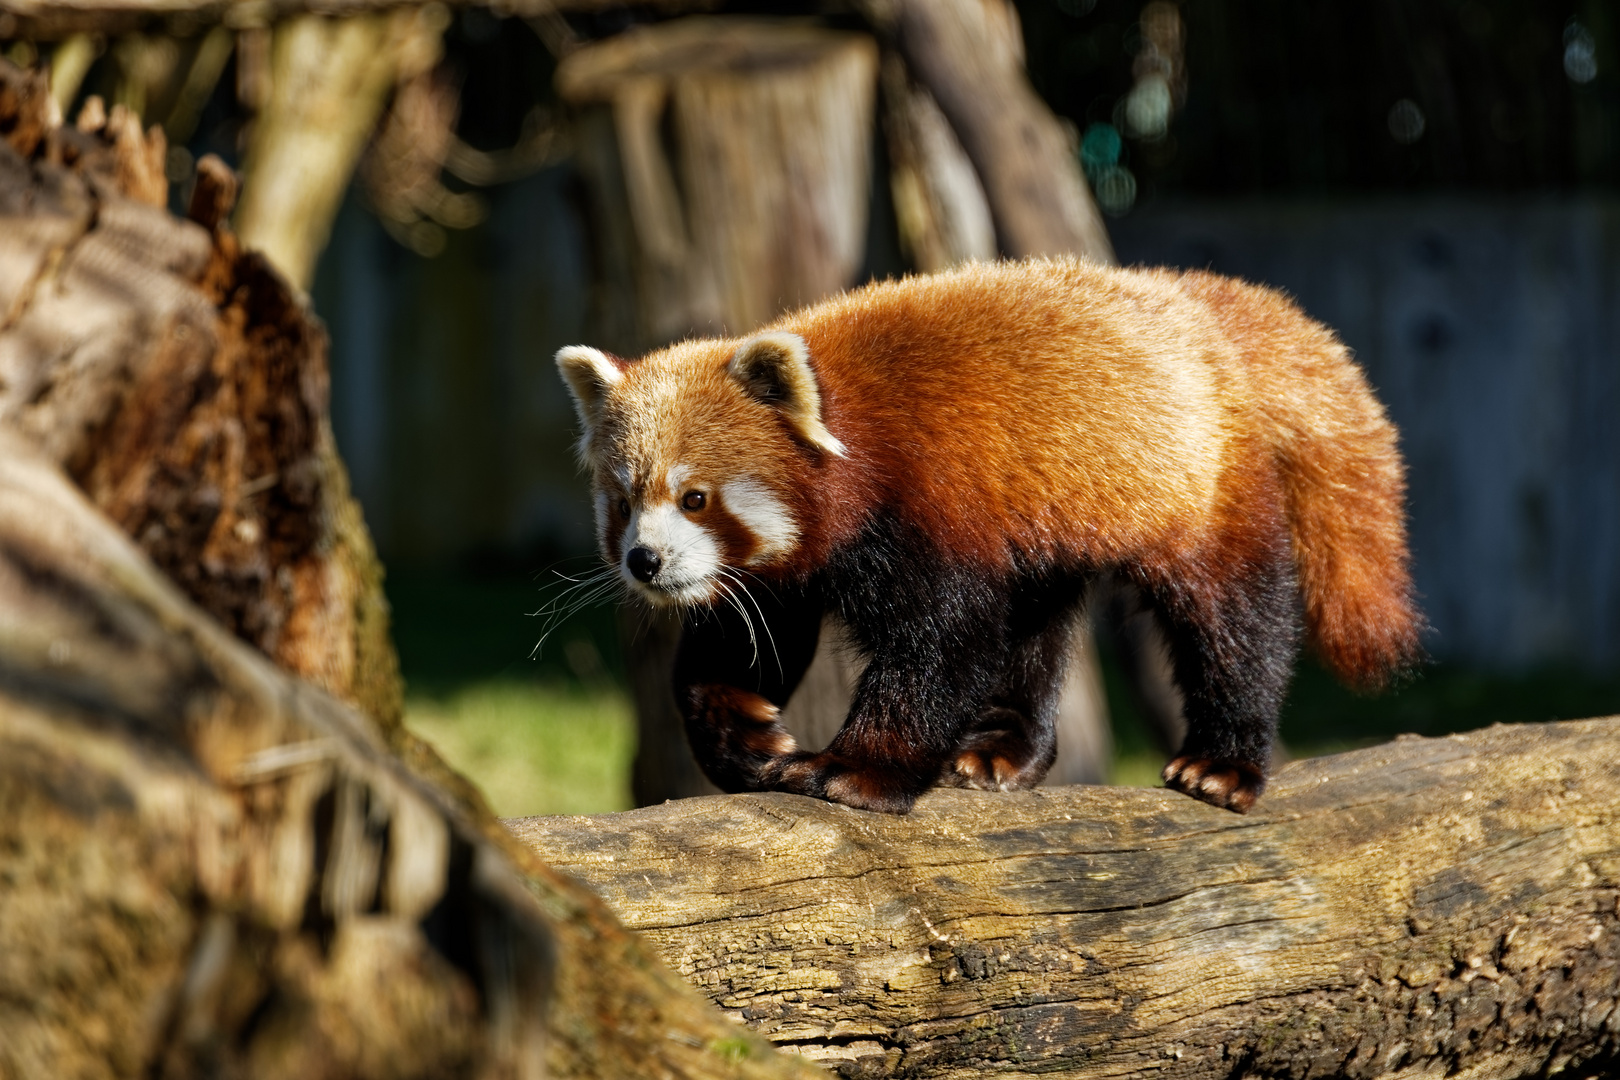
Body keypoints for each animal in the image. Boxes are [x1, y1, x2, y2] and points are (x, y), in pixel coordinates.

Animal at [557, 257, 1419, 816]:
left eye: (695, 497)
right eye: (624, 501)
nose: (645, 561)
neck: (857, 437)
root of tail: (1200, 306)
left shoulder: (933, 507)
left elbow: (942, 647)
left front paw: (856, 771)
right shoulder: (791, 567)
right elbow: (744, 638)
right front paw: (746, 736)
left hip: (1195, 483)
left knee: (1232, 617)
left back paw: (1222, 762)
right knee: (1035, 632)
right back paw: (1000, 750)